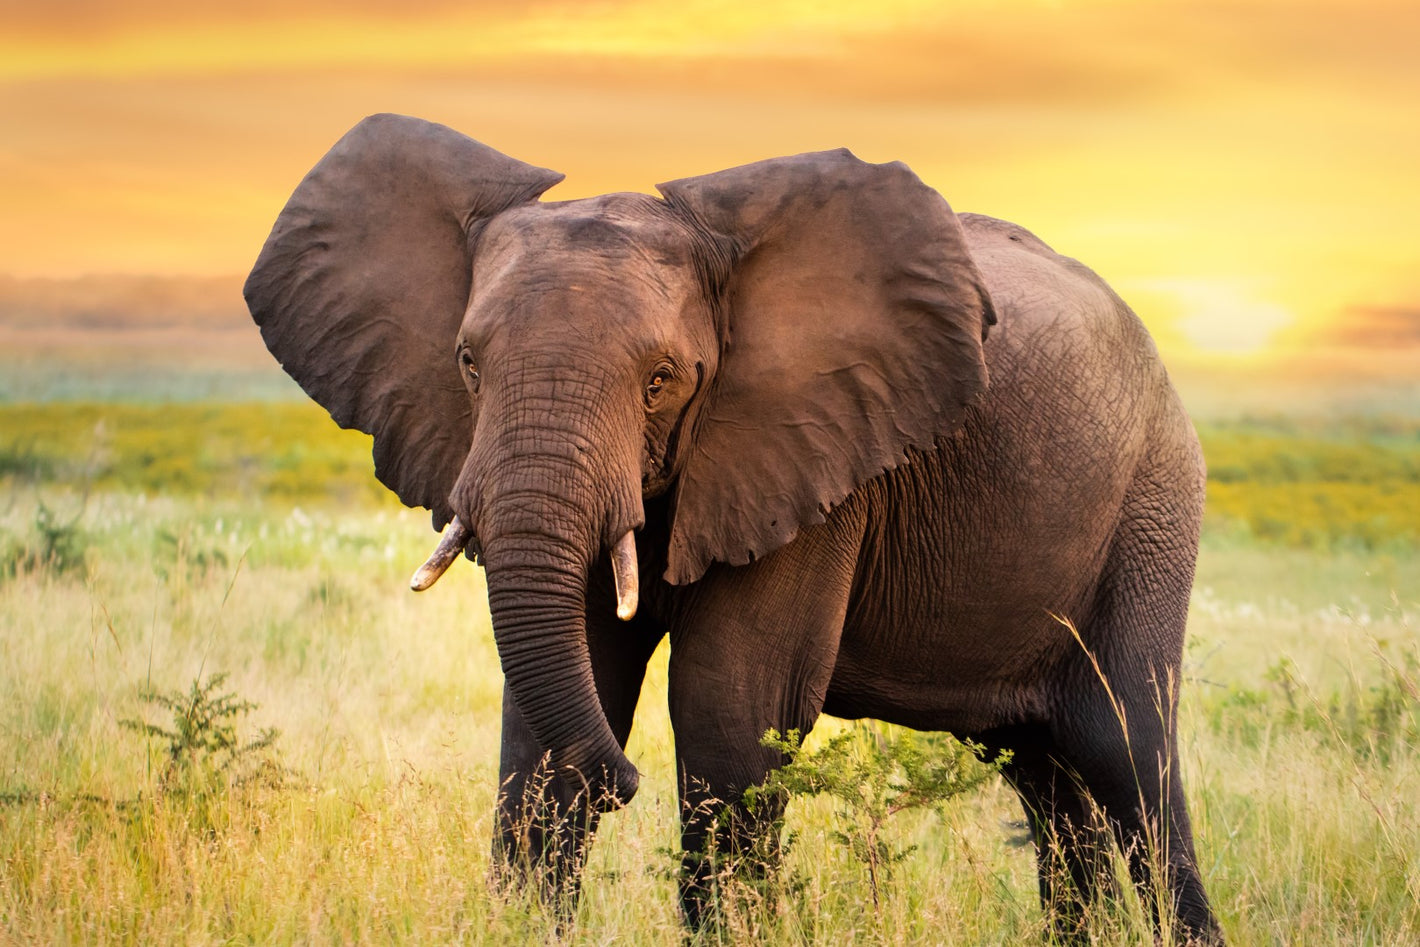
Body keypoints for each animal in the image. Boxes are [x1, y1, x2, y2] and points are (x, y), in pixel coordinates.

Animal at [245, 113, 1223, 943]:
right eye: (468, 363)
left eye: (662, 379)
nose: (624, 783)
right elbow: (552, 705)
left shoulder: (817, 458)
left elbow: (728, 707)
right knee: (1045, 771)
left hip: (1153, 501)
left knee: (1126, 748)